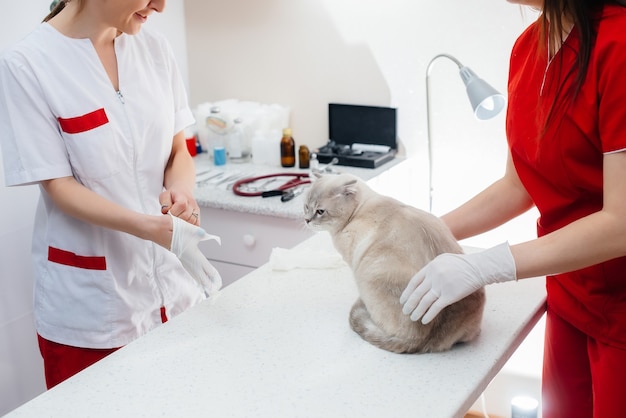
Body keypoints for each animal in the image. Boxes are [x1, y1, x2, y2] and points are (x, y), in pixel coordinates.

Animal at [302, 173, 482, 352]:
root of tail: (425, 341)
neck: (358, 211)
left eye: (320, 211)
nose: (306, 220)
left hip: (367, 277)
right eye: (306, 207)